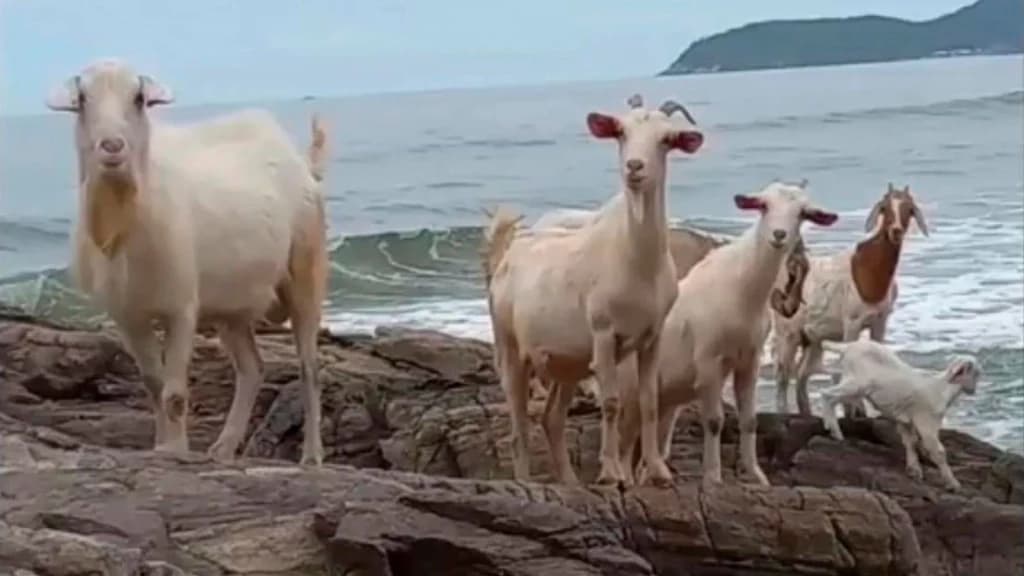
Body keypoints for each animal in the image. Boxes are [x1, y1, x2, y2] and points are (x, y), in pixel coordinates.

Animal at [46, 59, 329, 465]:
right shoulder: (127, 314)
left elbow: (175, 393)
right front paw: (161, 445)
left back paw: (311, 455)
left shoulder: (181, 307)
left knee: (309, 368)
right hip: (231, 304)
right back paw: (224, 448)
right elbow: (153, 385)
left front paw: (176, 450)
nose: (112, 147)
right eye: (82, 99)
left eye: (139, 98)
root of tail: (300, 159)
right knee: (252, 368)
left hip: (306, 267)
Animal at [483, 95, 703, 486]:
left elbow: (648, 400)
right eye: (621, 132)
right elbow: (612, 403)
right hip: (509, 345)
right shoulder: (603, 332)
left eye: (666, 139)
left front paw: (658, 472)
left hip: (566, 361)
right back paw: (525, 480)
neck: (636, 261)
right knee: (519, 423)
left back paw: (570, 481)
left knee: (552, 417)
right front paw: (611, 473)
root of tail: (507, 257)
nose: (634, 166)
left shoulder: (651, 336)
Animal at [619, 181, 838, 486]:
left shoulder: (749, 358)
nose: (779, 235)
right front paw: (713, 477)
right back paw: (623, 477)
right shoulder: (709, 359)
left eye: (802, 213)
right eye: (763, 206)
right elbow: (714, 421)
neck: (742, 291)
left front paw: (757, 476)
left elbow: (749, 420)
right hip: (631, 388)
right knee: (624, 436)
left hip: (665, 400)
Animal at [773, 183, 929, 416]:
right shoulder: (852, 323)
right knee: (782, 375)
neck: (868, 273)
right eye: (884, 208)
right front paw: (853, 411)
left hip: (811, 337)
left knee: (802, 374)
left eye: (909, 209)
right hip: (788, 332)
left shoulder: (880, 321)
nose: (896, 231)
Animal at [820, 340, 980, 491]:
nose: (973, 390)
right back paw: (834, 431)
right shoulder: (926, 422)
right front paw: (953, 484)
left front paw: (914, 470)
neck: (942, 389)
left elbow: (910, 442)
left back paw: (832, 429)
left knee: (832, 398)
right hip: (857, 384)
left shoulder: (907, 421)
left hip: (852, 386)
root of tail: (848, 347)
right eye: (976, 373)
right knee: (826, 394)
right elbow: (938, 452)